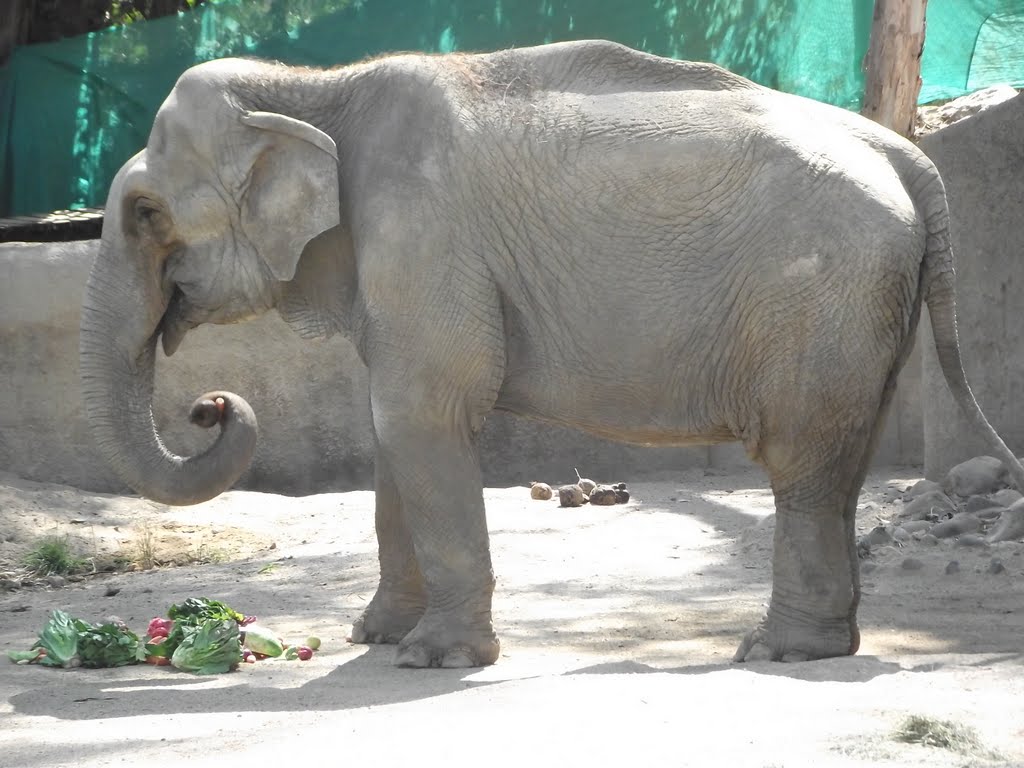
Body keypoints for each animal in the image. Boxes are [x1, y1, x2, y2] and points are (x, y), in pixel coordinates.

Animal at [77, 40, 1024, 667]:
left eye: (147, 214)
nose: (211, 404)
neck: (312, 88)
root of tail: (903, 150)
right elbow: (396, 431)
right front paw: (374, 637)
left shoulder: (423, 232)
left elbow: (422, 413)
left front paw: (434, 660)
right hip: (861, 305)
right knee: (837, 465)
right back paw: (816, 645)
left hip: (823, 293)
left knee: (803, 461)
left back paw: (775, 652)